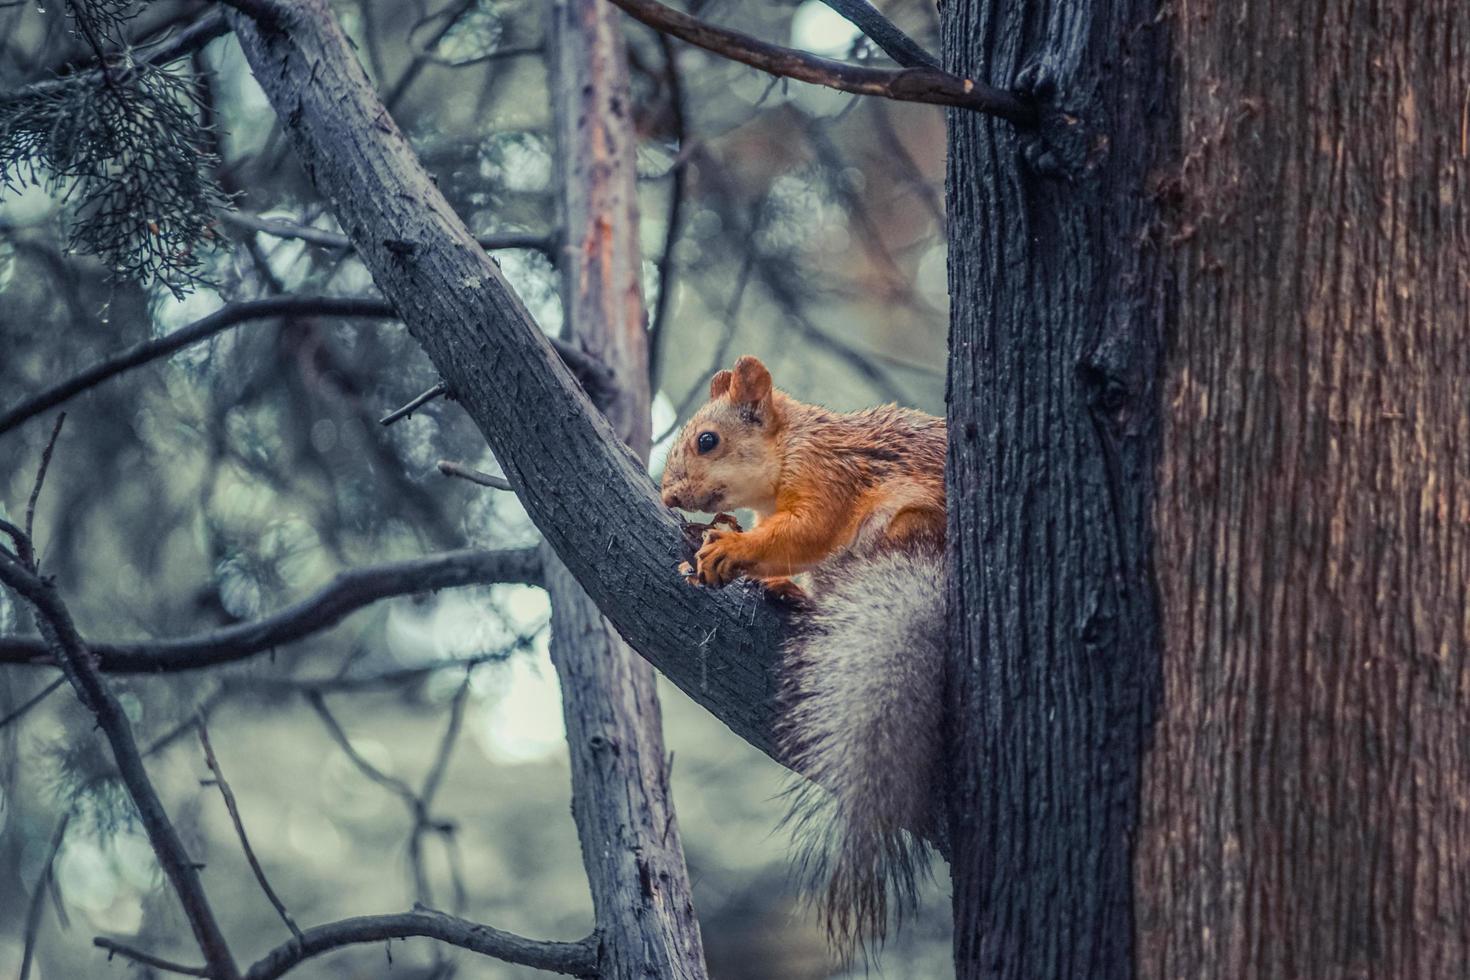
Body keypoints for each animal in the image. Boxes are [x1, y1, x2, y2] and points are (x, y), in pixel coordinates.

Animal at [661, 354, 946, 957]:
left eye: (707, 440)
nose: (668, 499)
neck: (790, 444)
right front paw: (739, 542)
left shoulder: (827, 474)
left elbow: (806, 530)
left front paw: (732, 547)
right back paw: (794, 594)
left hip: (906, 522)